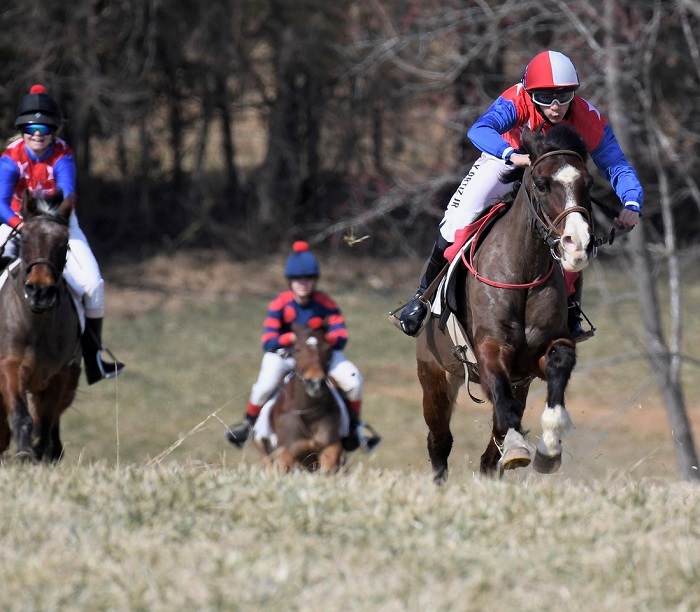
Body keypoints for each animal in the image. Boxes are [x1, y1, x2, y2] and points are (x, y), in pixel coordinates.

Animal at [0, 191, 81, 462]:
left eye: (64, 242)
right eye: (25, 237)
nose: (40, 292)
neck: (37, 323)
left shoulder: (58, 376)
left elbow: (44, 424)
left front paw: (35, 454)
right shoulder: (10, 366)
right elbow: (21, 415)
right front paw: (23, 453)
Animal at [253, 322, 346, 473]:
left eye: (328, 350)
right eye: (297, 349)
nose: (314, 383)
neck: (309, 414)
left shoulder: (330, 447)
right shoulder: (285, 454)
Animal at [417, 124, 594, 482]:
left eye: (588, 183)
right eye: (541, 184)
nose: (577, 243)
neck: (522, 268)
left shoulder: (536, 358)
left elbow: (559, 363)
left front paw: (549, 448)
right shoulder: (490, 347)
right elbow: (499, 392)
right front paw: (516, 445)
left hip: (518, 384)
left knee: (488, 454)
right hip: (434, 375)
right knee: (439, 441)